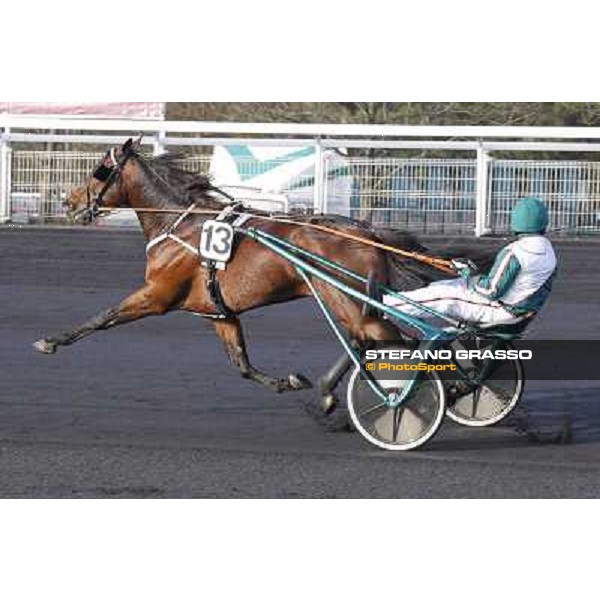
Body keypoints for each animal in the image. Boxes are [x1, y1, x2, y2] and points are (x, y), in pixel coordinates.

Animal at [35, 140, 500, 418]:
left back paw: (444, 389)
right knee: (370, 342)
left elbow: (103, 316)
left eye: (99, 170)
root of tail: (365, 231)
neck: (179, 224)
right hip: (350, 301)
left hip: (348, 302)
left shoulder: (156, 295)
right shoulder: (218, 312)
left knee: (388, 342)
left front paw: (51, 341)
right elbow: (241, 364)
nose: (68, 201)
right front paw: (288, 381)